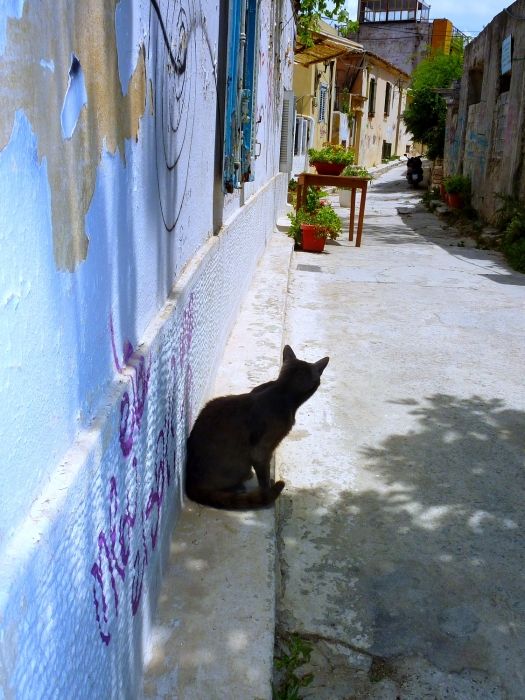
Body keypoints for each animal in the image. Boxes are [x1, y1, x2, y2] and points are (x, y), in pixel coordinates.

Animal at [185, 344, 328, 508]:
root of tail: (190, 483)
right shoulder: (262, 450)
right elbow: (264, 475)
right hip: (239, 465)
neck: (282, 390)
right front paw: (267, 493)